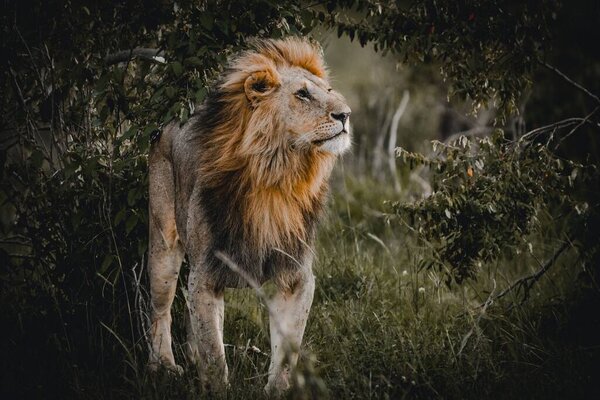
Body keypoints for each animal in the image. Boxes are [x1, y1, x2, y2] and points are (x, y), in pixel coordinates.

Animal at [146, 37, 352, 394]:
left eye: (328, 89)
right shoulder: (206, 275)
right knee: (160, 309)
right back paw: (163, 367)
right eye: (302, 94)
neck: (276, 177)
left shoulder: (297, 277)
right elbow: (215, 358)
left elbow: (286, 353)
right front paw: (217, 388)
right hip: (164, 244)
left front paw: (276, 391)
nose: (345, 115)